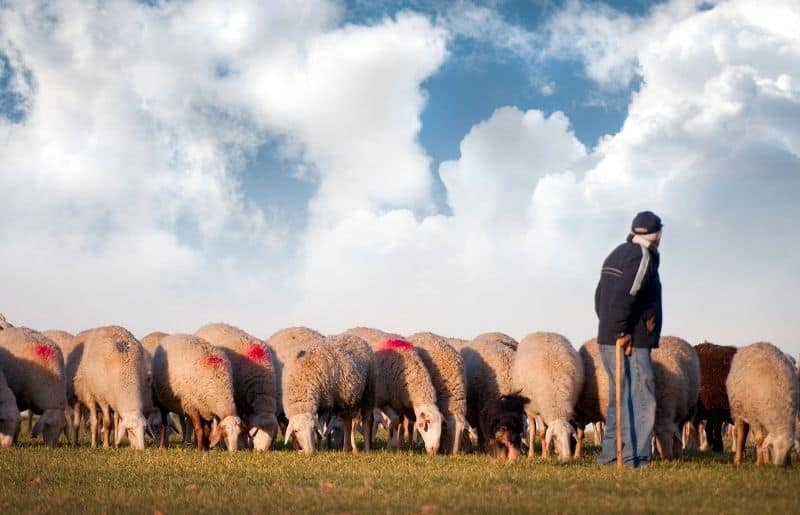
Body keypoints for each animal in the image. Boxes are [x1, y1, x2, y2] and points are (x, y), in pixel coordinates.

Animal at [195, 323, 279, 451]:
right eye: (257, 433)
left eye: (273, 436)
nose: (261, 451)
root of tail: (209, 324)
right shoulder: (238, 400)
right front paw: (243, 444)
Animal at [512, 332, 584, 462]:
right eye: (555, 436)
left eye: (569, 436)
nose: (567, 458)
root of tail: (542, 332)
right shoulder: (538, 409)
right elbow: (542, 432)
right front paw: (545, 455)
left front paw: (551, 451)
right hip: (529, 409)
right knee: (532, 431)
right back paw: (532, 454)